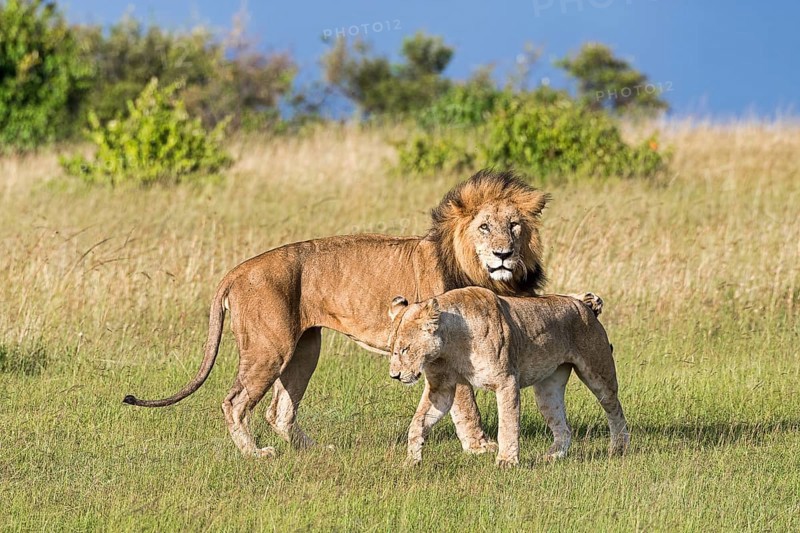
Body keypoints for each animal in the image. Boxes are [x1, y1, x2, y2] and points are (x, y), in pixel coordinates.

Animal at [122, 169, 597, 457]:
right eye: (484, 227)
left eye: (514, 226)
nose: (503, 254)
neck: (484, 274)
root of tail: (238, 269)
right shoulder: (448, 350)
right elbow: (467, 404)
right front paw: (481, 447)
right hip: (268, 348)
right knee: (235, 402)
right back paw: (256, 454)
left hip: (304, 348)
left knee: (280, 410)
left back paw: (315, 451)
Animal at [387, 288, 629, 468]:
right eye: (392, 349)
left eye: (406, 349)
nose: (394, 375)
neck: (449, 346)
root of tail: (581, 304)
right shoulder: (441, 389)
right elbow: (418, 422)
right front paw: (411, 461)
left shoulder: (506, 381)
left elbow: (507, 423)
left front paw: (506, 462)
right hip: (548, 391)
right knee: (564, 428)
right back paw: (552, 457)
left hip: (598, 372)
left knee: (615, 409)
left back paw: (619, 448)